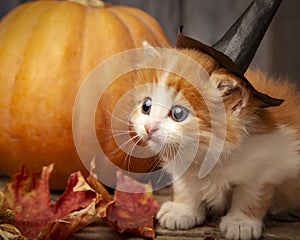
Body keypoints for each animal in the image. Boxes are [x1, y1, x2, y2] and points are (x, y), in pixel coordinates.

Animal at [129, 47, 300, 240]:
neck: (209, 154)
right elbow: (185, 187)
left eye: (178, 113)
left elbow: (251, 194)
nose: (148, 127)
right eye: (146, 106)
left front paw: (241, 222)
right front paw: (182, 211)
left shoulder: (267, 164)